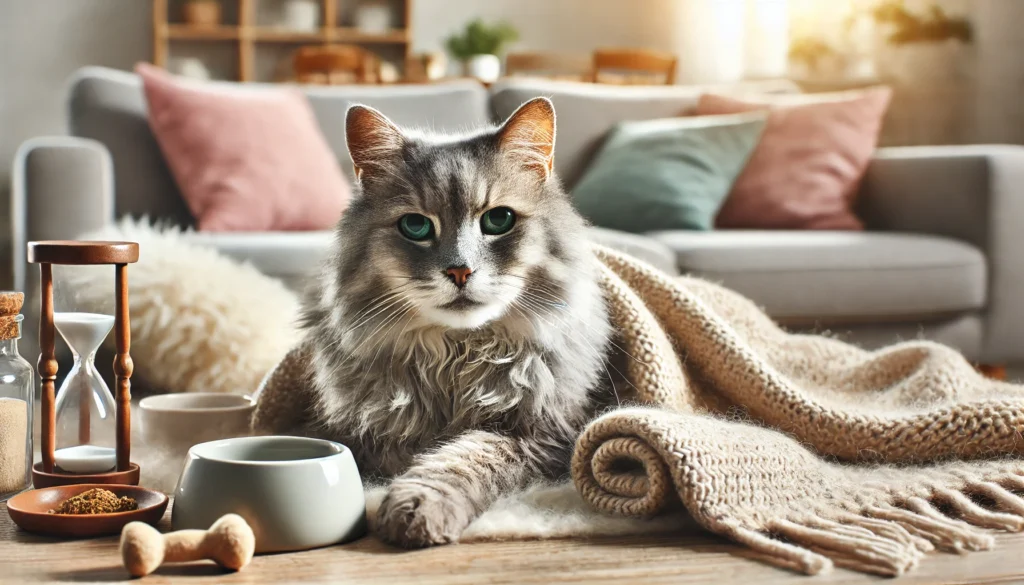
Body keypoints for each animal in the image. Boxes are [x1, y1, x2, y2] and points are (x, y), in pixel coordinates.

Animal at [299, 97, 610, 549]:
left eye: (498, 220)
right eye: (415, 226)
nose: (460, 271)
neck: (456, 355)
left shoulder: (544, 436)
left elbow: (463, 458)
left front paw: (415, 508)